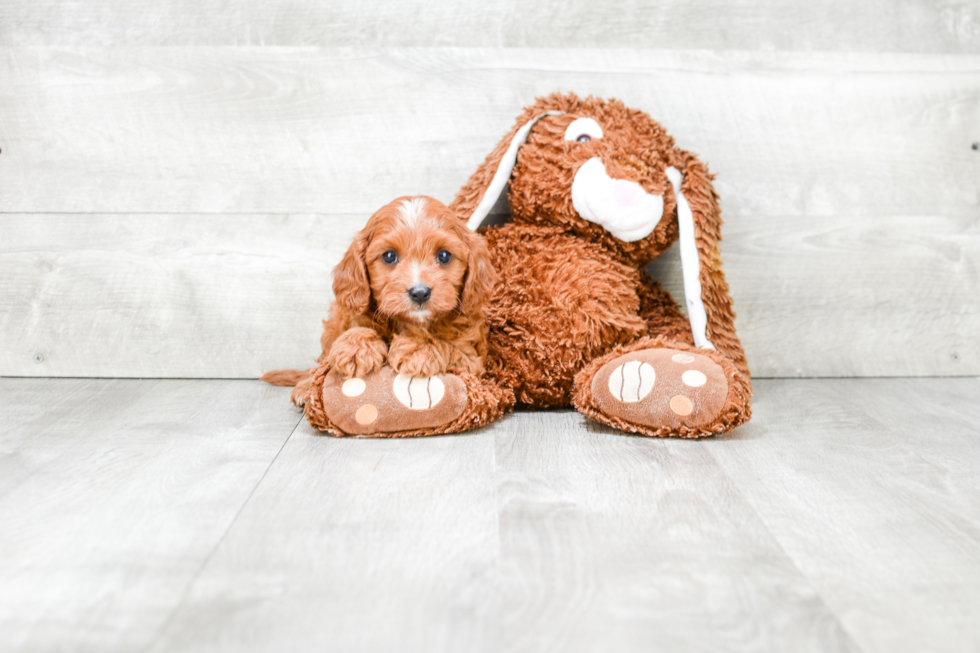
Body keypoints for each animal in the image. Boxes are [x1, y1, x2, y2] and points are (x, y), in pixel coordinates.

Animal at [262, 194, 498, 402]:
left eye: (444, 255)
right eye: (389, 256)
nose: (420, 292)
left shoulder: (472, 359)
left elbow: (448, 346)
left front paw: (418, 348)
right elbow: (356, 327)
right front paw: (355, 347)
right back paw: (306, 386)